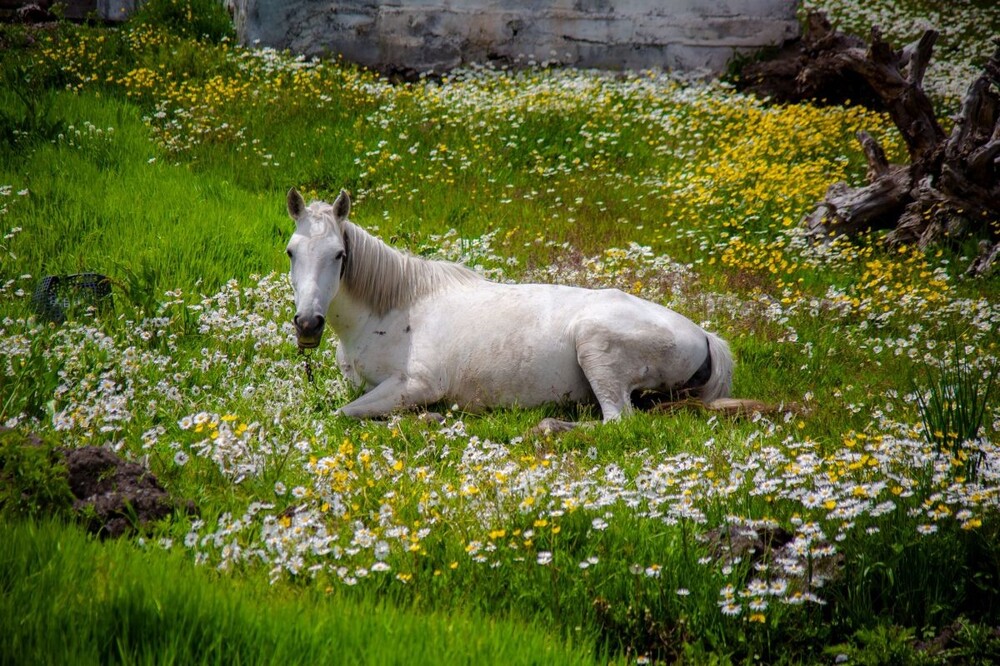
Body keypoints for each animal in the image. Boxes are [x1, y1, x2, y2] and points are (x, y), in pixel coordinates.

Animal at [286, 187, 732, 422]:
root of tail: (703, 334)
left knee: (616, 420)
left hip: (595, 347)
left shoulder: (415, 385)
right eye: (291, 251)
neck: (393, 312)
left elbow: (343, 414)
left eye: (339, 255)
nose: (308, 323)